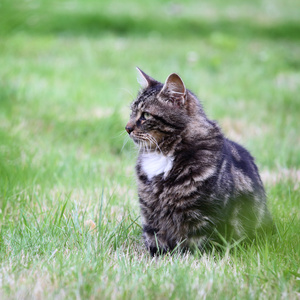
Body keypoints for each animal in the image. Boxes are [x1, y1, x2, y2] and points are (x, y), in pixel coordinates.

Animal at [125, 68, 274, 255]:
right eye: (132, 112)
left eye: (145, 115)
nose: (127, 128)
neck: (162, 155)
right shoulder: (150, 213)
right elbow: (155, 243)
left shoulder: (202, 216)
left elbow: (197, 247)